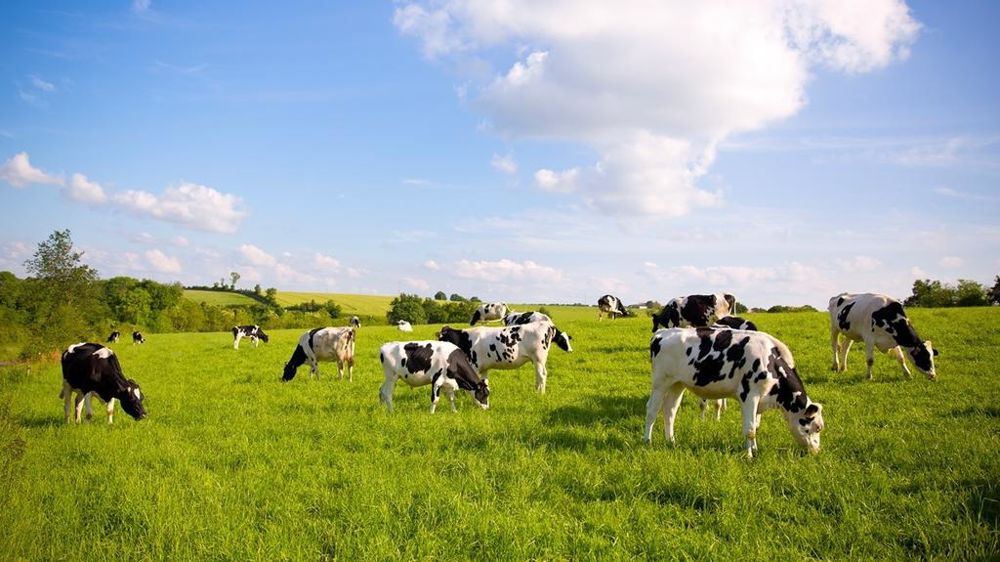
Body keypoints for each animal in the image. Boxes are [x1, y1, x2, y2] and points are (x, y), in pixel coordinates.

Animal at [437, 320, 572, 393]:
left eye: (442, 338)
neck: (465, 339)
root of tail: (547, 324)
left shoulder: (473, 365)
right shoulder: (484, 368)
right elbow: (484, 382)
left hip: (539, 358)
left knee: (542, 375)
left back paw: (540, 393)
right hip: (538, 360)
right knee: (540, 375)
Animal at [644, 327, 824, 458]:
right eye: (816, 428)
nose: (817, 451)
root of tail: (662, 333)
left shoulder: (759, 399)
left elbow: (755, 426)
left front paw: (755, 450)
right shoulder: (749, 395)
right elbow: (750, 430)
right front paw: (749, 456)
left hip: (677, 384)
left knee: (670, 411)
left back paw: (671, 442)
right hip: (660, 382)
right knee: (652, 410)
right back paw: (647, 441)